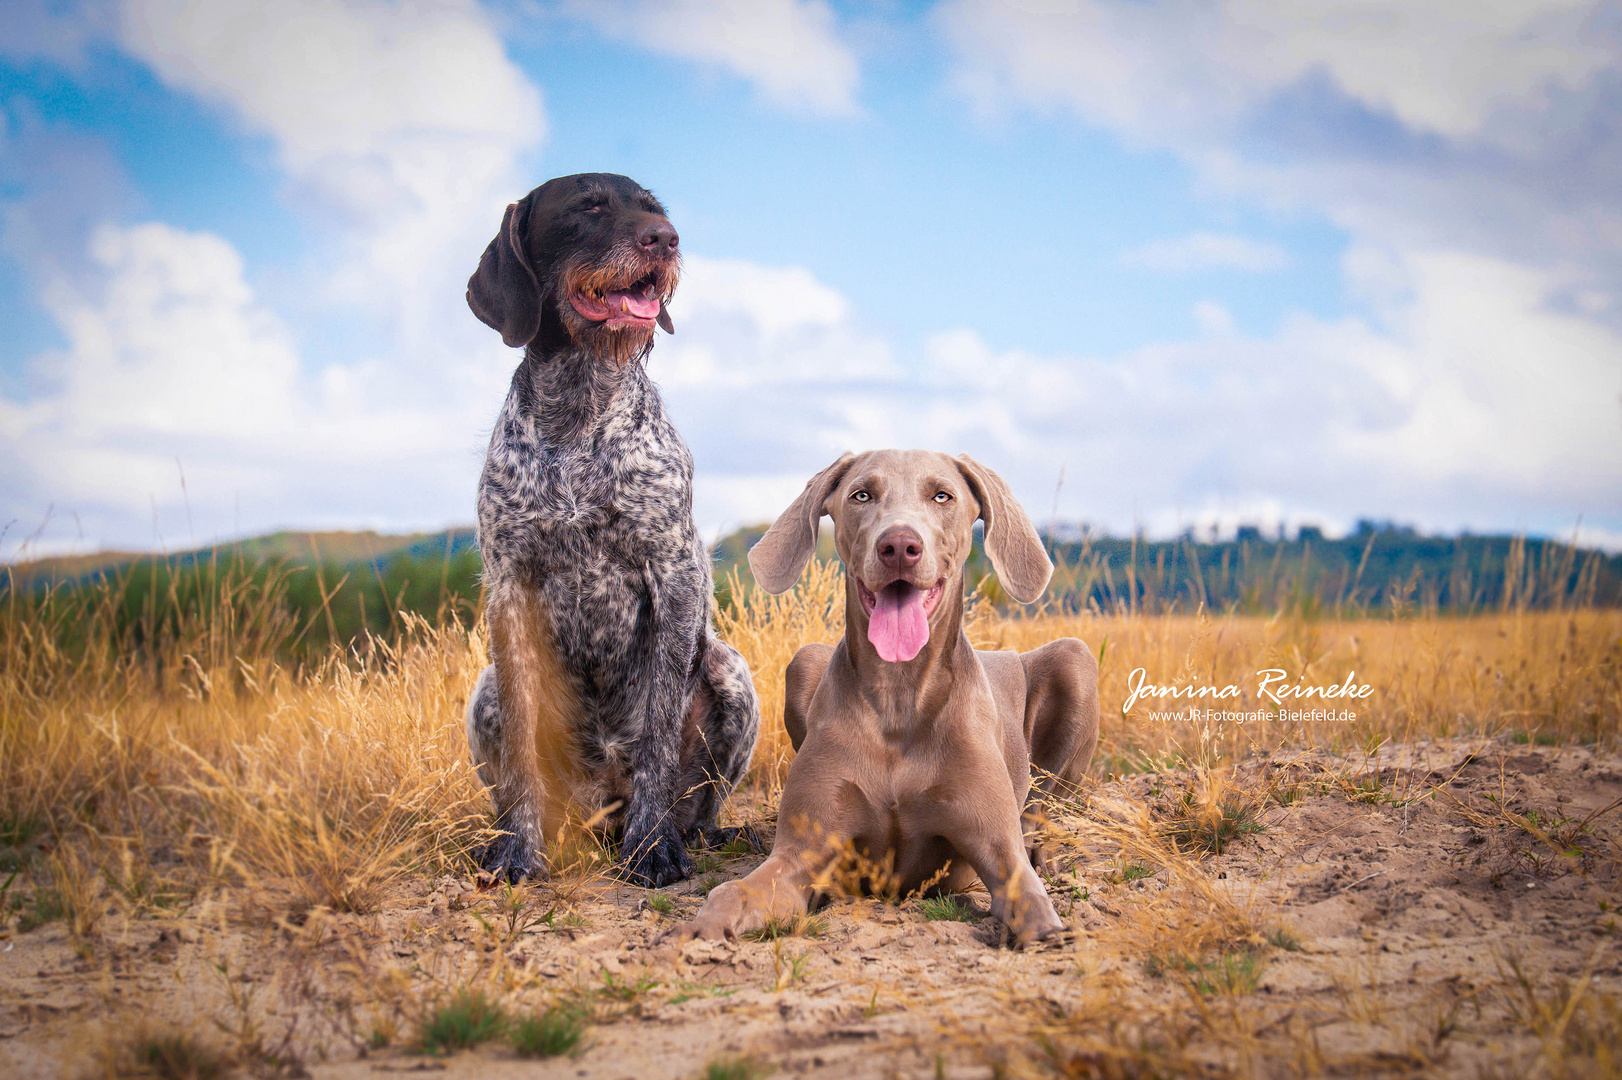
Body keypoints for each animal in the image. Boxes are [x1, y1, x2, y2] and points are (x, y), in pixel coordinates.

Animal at [460, 170, 755, 882]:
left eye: (654, 210)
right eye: (589, 207)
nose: (666, 240)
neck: (579, 402)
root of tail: (599, 810)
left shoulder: (672, 574)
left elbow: (656, 735)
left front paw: (652, 847)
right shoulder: (509, 587)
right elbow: (523, 740)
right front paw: (520, 849)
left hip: (731, 672)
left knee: (696, 803)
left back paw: (696, 833)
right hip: (483, 691)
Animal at [665, 447, 1096, 940]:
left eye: (942, 496)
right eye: (862, 495)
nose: (899, 546)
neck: (898, 694)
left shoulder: (996, 847)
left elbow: (1031, 900)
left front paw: (1046, 933)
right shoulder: (801, 850)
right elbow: (732, 892)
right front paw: (696, 931)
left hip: (1075, 658)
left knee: (1040, 811)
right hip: (804, 661)